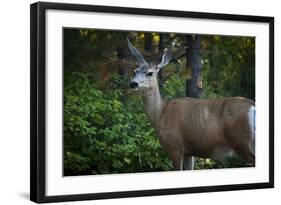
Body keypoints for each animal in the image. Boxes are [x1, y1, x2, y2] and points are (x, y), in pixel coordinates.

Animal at [127, 38, 254, 170]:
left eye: (150, 73)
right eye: (135, 71)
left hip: (240, 140)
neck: (160, 114)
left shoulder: (175, 147)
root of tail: (252, 106)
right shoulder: (189, 152)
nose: (133, 83)